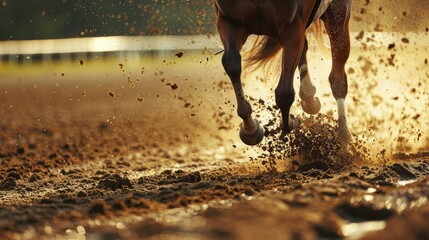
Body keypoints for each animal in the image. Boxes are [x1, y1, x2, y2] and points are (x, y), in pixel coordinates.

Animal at [214, 0, 352, 149]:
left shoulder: (292, 29)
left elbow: (284, 93)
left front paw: (290, 122)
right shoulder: (228, 21)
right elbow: (231, 63)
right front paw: (251, 129)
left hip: (337, 16)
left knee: (337, 78)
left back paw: (343, 137)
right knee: (304, 48)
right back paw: (309, 97)